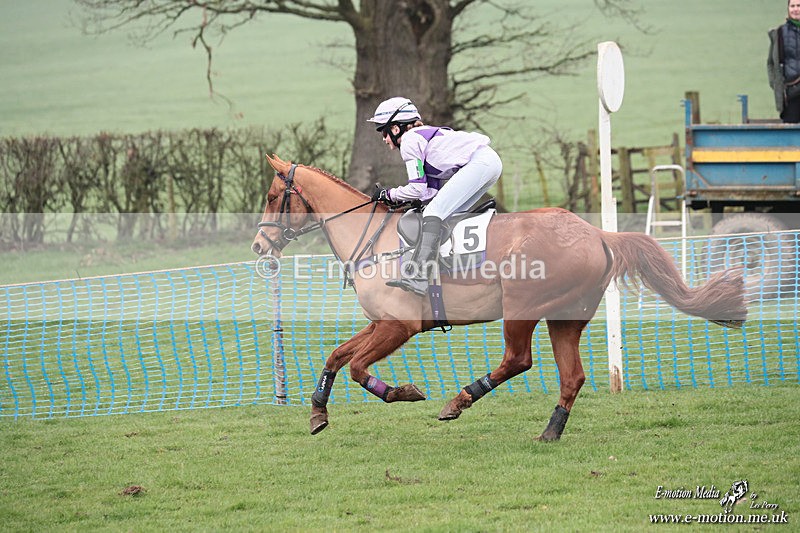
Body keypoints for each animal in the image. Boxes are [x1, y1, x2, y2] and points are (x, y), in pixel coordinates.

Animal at [252, 154, 747, 440]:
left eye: (275, 196)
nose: (258, 246)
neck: (373, 238)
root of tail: (598, 234)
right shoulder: (380, 323)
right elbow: (336, 356)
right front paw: (317, 413)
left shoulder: (400, 326)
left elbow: (357, 366)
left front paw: (405, 392)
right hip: (565, 317)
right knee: (571, 376)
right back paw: (550, 432)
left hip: (522, 308)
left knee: (518, 360)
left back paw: (459, 401)